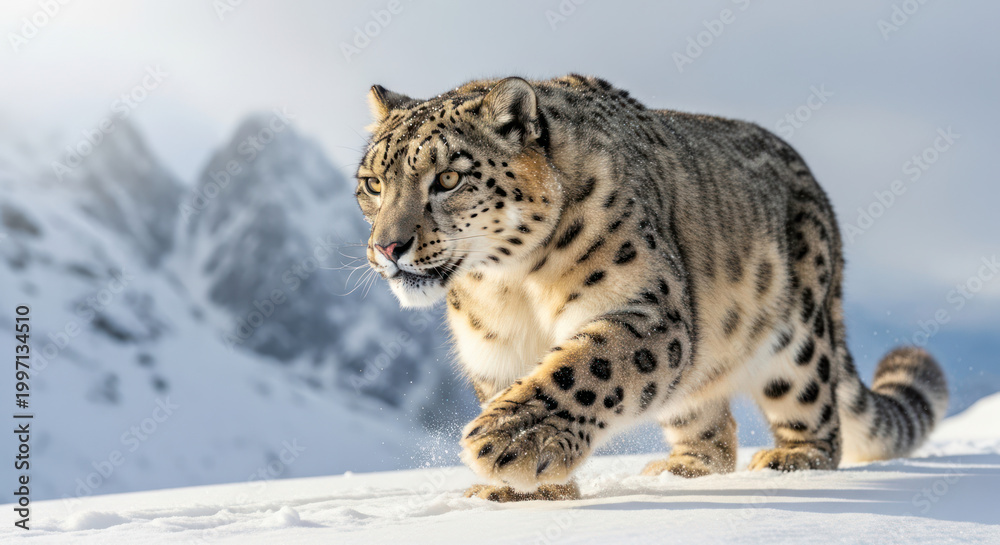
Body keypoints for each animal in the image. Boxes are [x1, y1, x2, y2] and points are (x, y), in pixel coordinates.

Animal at [354, 74, 949, 502]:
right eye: (373, 183)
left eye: (448, 178)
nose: (388, 247)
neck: (509, 287)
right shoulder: (492, 349)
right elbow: (519, 384)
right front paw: (527, 488)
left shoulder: (644, 308)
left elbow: (584, 369)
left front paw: (512, 441)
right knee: (710, 423)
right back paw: (682, 469)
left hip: (799, 336)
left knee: (815, 406)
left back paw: (794, 459)